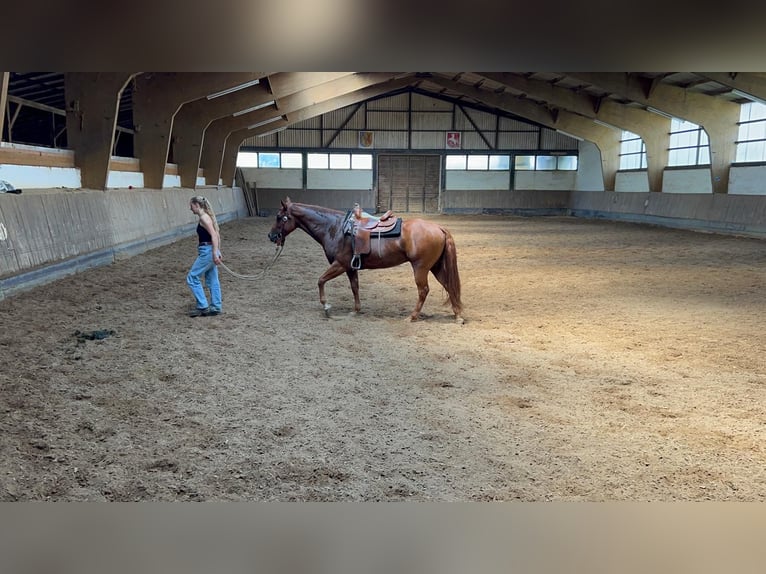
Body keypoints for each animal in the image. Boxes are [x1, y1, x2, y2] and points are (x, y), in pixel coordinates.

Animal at [268, 198, 464, 324]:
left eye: (279, 217)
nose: (271, 236)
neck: (335, 228)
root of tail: (439, 227)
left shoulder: (340, 264)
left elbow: (320, 280)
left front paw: (326, 307)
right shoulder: (350, 268)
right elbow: (355, 287)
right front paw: (356, 310)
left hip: (421, 268)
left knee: (423, 290)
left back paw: (412, 316)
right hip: (435, 267)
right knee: (448, 285)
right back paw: (458, 316)